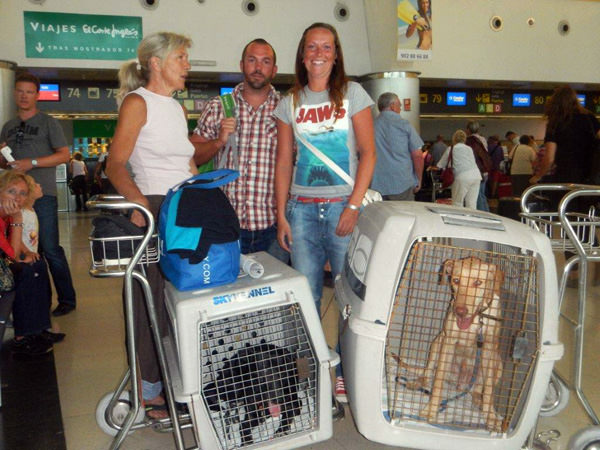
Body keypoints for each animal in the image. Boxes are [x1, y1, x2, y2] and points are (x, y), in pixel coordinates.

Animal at [394, 256, 506, 428]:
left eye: (478, 282)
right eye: (456, 280)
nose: (460, 311)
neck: (475, 322)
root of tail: (461, 385)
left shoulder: (488, 347)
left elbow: (488, 391)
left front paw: (491, 416)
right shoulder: (448, 342)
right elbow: (438, 383)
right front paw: (431, 410)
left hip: (498, 363)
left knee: (479, 390)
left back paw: (478, 401)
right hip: (436, 343)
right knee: (428, 373)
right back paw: (417, 383)